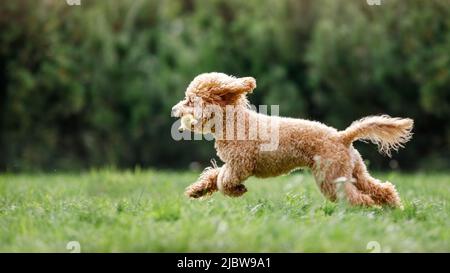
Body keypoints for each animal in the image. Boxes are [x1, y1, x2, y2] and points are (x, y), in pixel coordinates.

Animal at [172, 72, 414, 206]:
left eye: (190, 100)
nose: (174, 110)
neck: (235, 123)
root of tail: (341, 137)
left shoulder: (240, 164)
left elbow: (223, 181)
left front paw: (237, 190)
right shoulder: (232, 164)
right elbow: (214, 176)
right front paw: (197, 191)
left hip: (331, 178)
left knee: (358, 199)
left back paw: (369, 211)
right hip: (354, 171)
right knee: (382, 189)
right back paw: (393, 208)